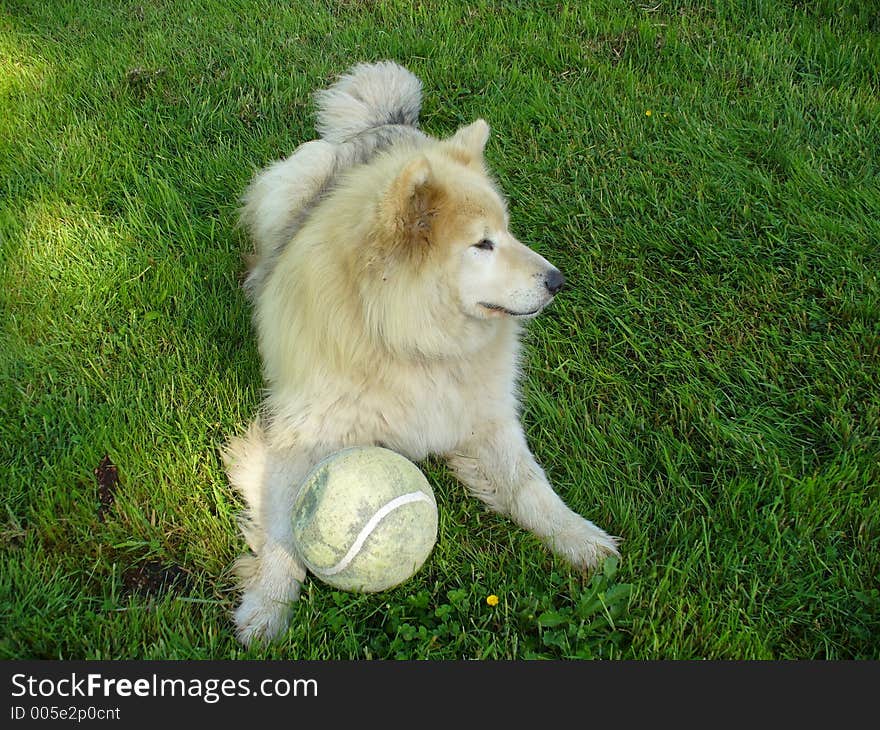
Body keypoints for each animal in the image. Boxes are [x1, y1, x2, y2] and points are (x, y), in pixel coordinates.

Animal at [223, 62, 616, 644]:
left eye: (507, 233)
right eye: (482, 245)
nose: (557, 281)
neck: (410, 342)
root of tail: (386, 125)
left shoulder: (486, 422)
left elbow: (529, 486)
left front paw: (580, 539)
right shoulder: (295, 440)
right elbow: (281, 534)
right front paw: (267, 608)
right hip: (288, 189)